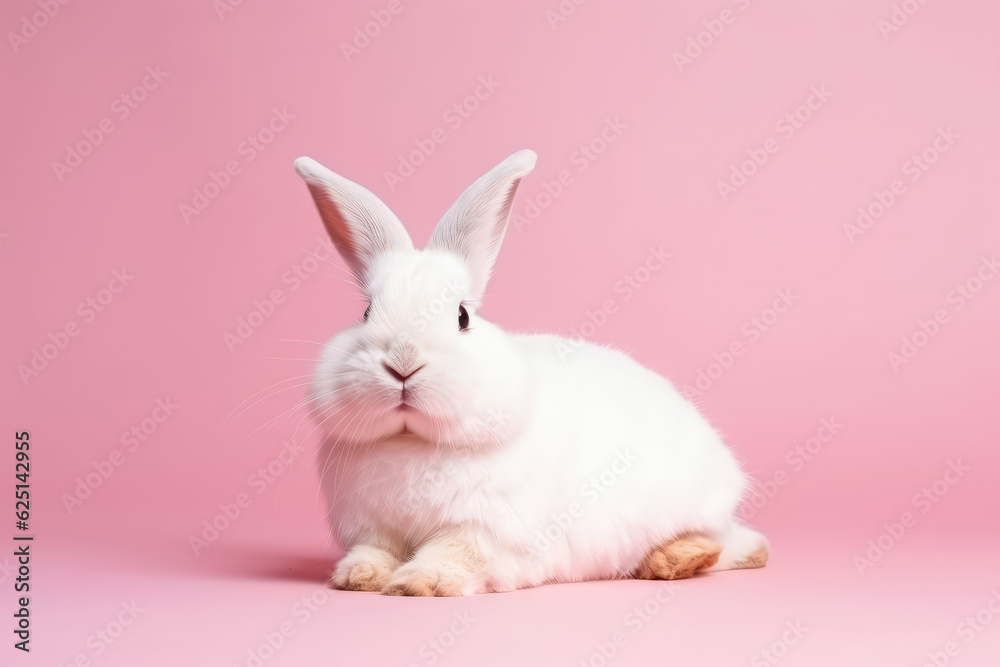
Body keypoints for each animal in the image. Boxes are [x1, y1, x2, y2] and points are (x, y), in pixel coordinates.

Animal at [293, 149, 769, 596]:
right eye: (366, 313)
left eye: (462, 316)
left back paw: (674, 561)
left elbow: (454, 553)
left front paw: (418, 583)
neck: (414, 443)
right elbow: (375, 550)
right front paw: (358, 576)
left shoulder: (486, 531)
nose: (404, 364)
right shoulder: (375, 528)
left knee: (734, 546)